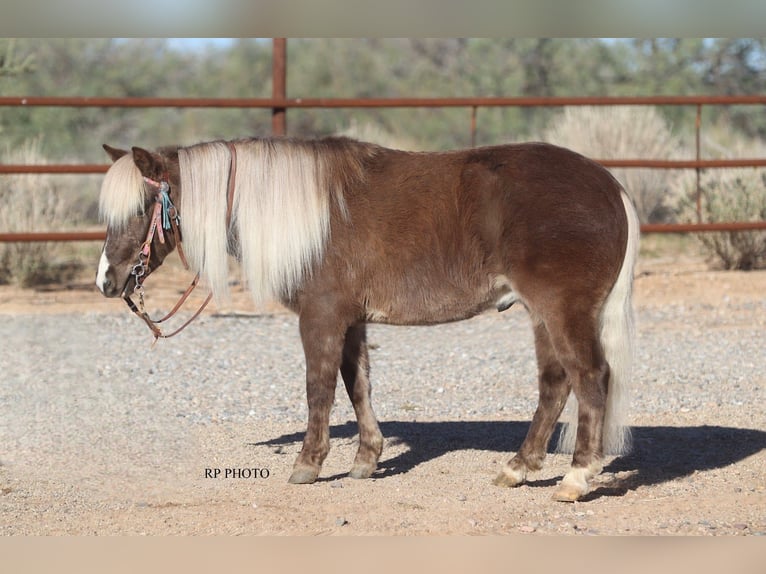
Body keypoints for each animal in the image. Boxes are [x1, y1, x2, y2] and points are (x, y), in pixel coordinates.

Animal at [95, 136, 639, 502]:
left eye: (143, 206)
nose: (107, 281)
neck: (307, 217)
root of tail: (610, 186)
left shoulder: (321, 316)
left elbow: (319, 389)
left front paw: (308, 464)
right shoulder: (351, 319)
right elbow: (357, 384)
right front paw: (366, 460)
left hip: (562, 310)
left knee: (590, 378)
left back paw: (575, 478)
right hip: (540, 315)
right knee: (555, 384)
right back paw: (518, 468)